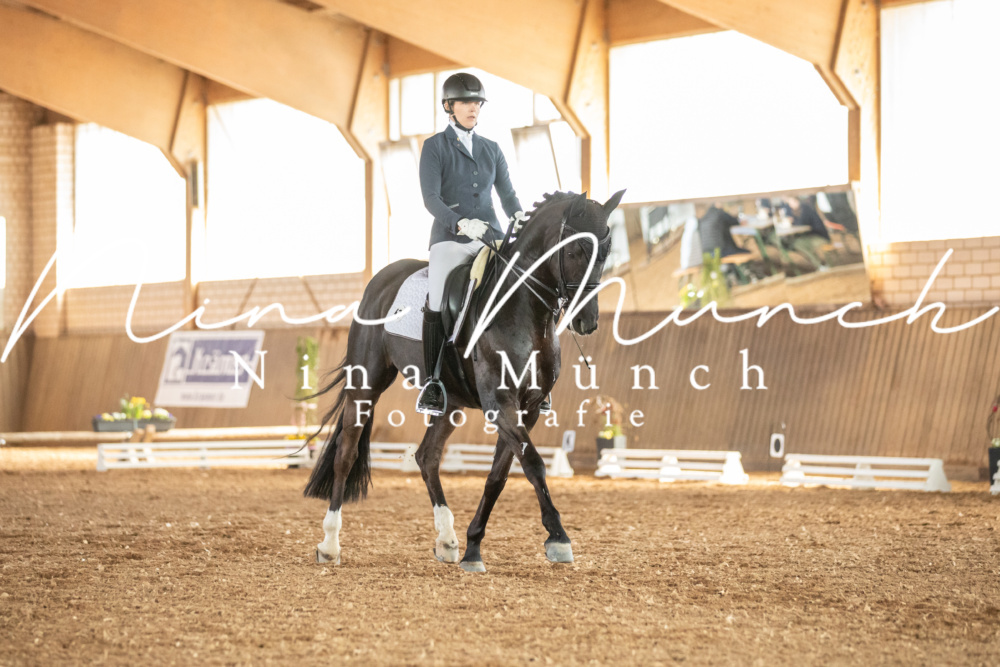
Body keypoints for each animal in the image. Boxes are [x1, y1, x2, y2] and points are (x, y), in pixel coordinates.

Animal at [303, 189, 625, 572]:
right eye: (575, 250)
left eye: (605, 251)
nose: (587, 321)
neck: (522, 309)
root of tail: (381, 280)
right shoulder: (499, 403)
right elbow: (533, 463)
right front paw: (559, 538)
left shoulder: (528, 408)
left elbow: (500, 475)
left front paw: (473, 547)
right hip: (365, 384)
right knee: (347, 453)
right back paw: (329, 544)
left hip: (450, 402)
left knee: (427, 456)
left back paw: (447, 540)